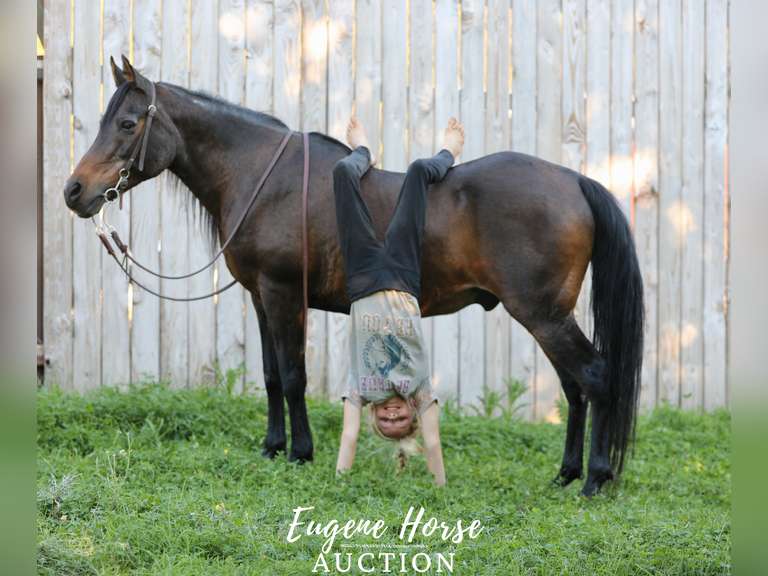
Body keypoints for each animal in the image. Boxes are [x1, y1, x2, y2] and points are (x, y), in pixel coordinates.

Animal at [63, 56, 643, 496]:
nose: (74, 191)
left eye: (128, 123)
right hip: (549, 318)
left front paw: (300, 453)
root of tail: (574, 180)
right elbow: (271, 376)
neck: (261, 178)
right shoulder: (260, 298)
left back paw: (594, 479)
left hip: (543, 315)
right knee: (574, 387)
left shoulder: (283, 296)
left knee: (594, 377)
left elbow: (293, 376)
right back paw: (565, 474)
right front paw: (272, 447)